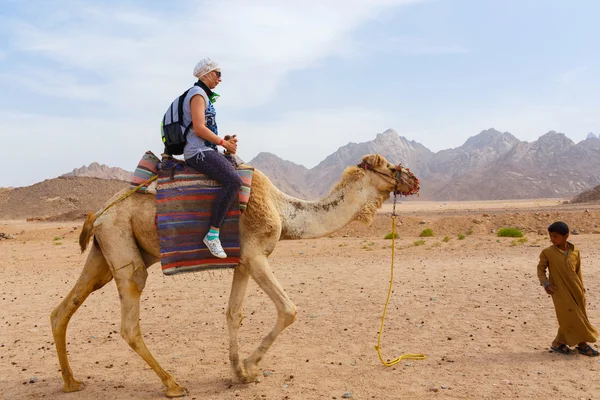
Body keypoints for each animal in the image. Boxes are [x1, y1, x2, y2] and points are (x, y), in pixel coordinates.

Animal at [50, 153, 418, 396]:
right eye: (391, 167)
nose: (414, 180)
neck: (282, 209)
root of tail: (98, 213)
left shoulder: (242, 263)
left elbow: (233, 314)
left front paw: (239, 372)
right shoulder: (255, 255)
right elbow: (288, 310)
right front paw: (253, 367)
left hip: (103, 253)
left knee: (63, 309)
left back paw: (71, 382)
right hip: (124, 250)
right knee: (128, 323)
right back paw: (173, 384)